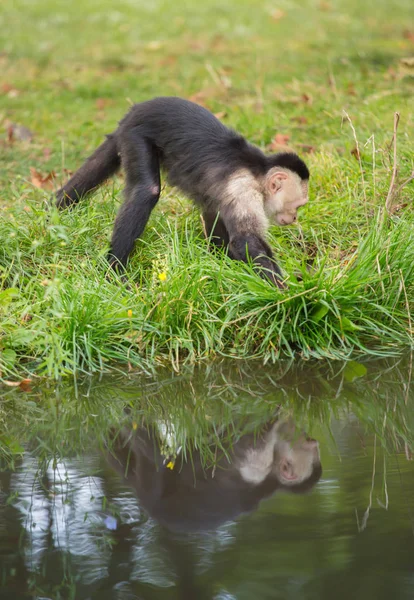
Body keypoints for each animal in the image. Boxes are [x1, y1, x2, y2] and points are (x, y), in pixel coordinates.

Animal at [55, 96, 308, 288]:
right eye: (298, 206)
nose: (295, 217)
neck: (257, 173)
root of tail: (137, 108)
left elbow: (213, 215)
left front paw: (225, 268)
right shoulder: (244, 189)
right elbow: (246, 241)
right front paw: (286, 294)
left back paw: (55, 209)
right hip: (136, 136)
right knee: (147, 191)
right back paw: (115, 272)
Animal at [106, 414, 320, 532]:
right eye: (308, 439)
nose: (309, 436)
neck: (272, 478)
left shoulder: (258, 464)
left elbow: (247, 439)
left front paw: (274, 418)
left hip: (153, 490)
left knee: (153, 459)